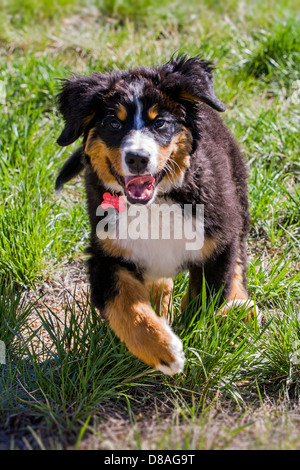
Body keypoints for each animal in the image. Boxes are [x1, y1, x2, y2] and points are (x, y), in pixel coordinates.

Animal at [55, 54, 253, 374]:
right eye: (113, 123)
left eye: (159, 122)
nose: (138, 158)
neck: (155, 205)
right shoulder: (105, 254)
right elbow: (125, 306)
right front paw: (163, 349)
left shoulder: (219, 240)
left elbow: (203, 301)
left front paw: (190, 333)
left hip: (238, 200)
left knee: (238, 262)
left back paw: (239, 307)